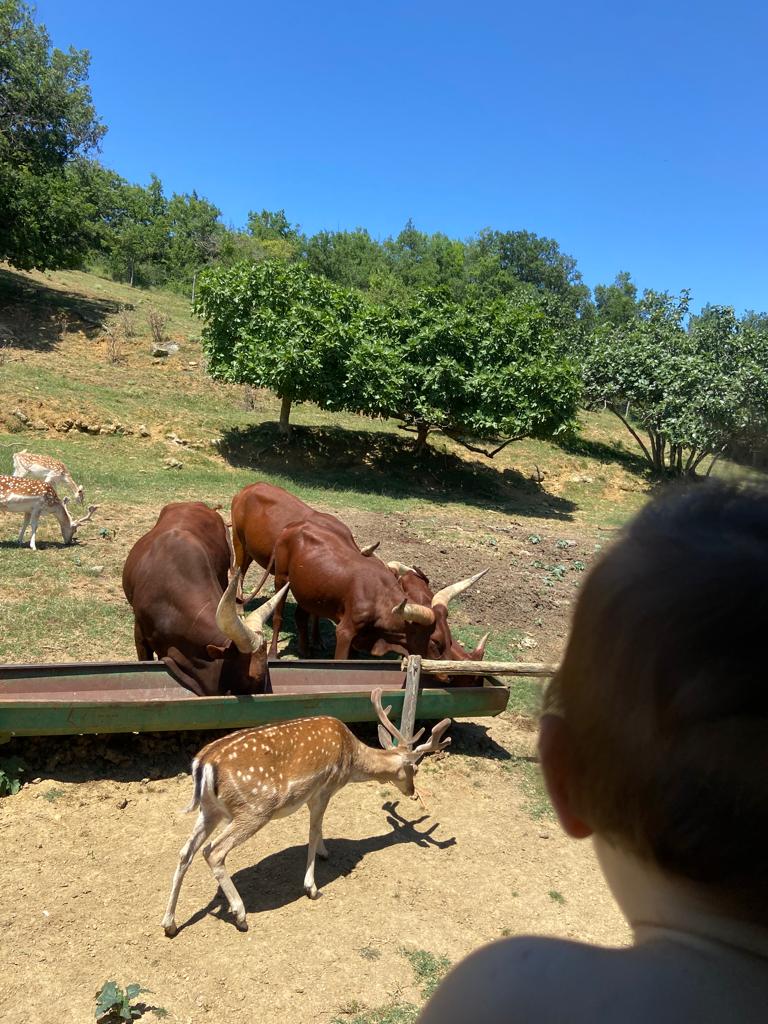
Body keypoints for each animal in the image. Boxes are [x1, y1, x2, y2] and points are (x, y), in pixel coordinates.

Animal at [160, 688, 450, 937]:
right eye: (415, 769)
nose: (412, 792)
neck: (351, 760)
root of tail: (203, 763)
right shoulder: (323, 790)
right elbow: (313, 830)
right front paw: (312, 887)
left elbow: (318, 830)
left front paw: (324, 852)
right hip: (254, 810)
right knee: (213, 851)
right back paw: (240, 915)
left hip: (210, 810)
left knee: (185, 851)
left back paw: (169, 923)